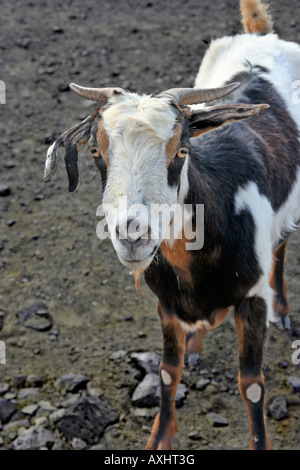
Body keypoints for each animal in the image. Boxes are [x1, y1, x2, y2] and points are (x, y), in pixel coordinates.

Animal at [44, 0, 300, 448]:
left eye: (182, 150)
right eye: (95, 150)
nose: (133, 234)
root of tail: (260, 34)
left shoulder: (252, 299)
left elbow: (252, 384)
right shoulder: (165, 303)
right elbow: (166, 372)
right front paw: (159, 438)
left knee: (282, 244)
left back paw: (284, 311)